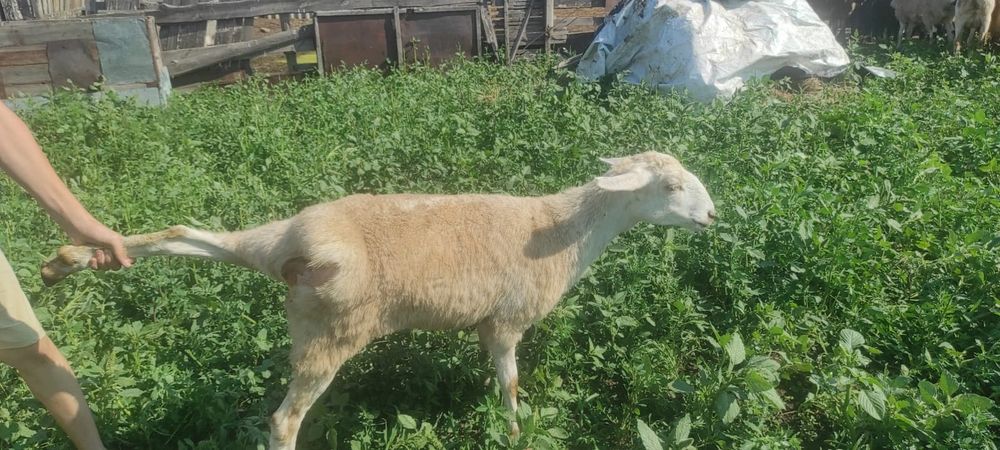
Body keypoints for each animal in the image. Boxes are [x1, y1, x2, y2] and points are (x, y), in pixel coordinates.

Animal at [39, 151, 717, 450]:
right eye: (670, 185)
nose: (712, 216)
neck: (562, 228)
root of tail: (305, 249)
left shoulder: (488, 325)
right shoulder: (507, 322)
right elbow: (511, 384)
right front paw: (516, 430)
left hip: (271, 250)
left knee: (189, 234)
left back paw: (68, 261)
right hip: (328, 332)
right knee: (284, 420)